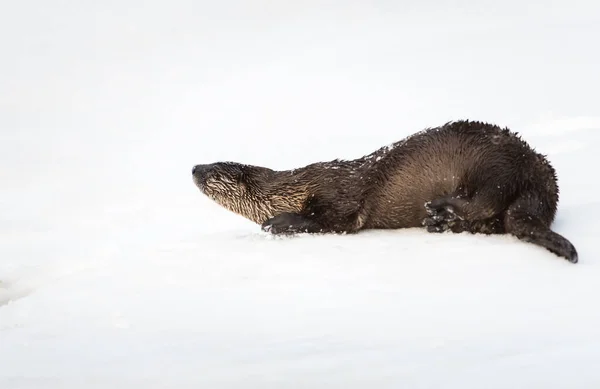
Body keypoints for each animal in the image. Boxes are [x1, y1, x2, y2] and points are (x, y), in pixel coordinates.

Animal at [191, 119, 576, 262]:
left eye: (213, 169)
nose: (194, 167)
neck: (293, 189)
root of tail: (537, 165)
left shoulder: (336, 193)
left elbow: (334, 219)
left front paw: (277, 223)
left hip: (493, 163)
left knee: (486, 199)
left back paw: (439, 211)